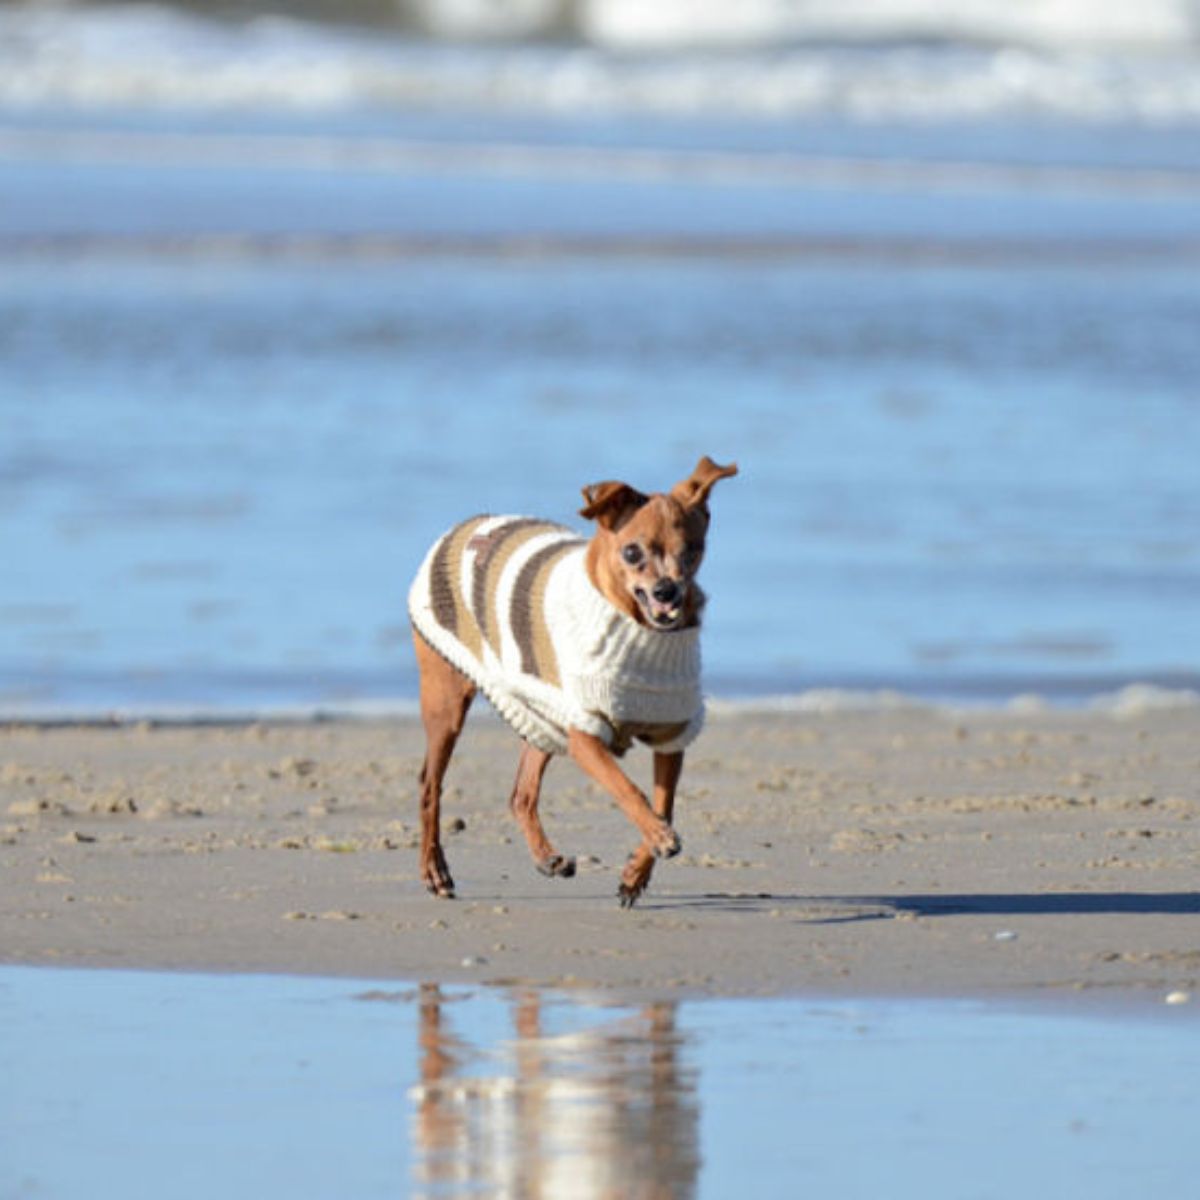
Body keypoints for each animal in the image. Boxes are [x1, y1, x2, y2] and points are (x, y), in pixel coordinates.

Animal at [408, 453, 734, 902]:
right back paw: (434, 870)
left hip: (542, 715)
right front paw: (657, 837)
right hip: (448, 703)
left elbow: (663, 803)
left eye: (693, 551)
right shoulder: (585, 736)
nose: (667, 591)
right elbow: (628, 789)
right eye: (631, 552)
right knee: (429, 785)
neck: (638, 630)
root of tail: (467, 524)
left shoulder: (670, 736)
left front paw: (638, 869)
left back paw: (547, 857)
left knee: (521, 792)